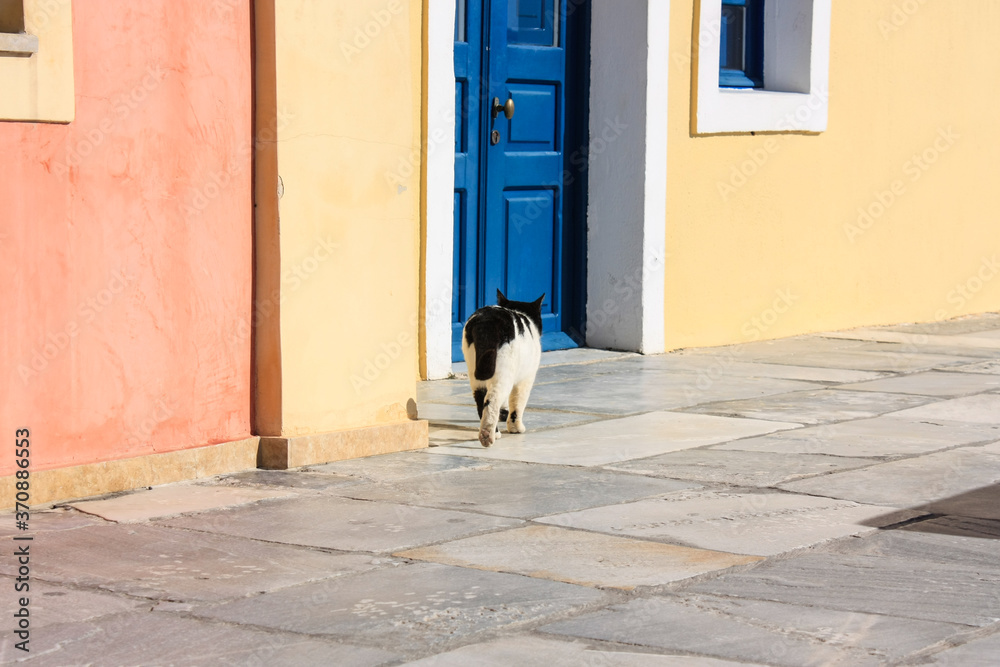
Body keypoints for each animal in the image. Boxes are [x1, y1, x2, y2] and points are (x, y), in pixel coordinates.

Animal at [462, 288, 544, 448]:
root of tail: (487, 321)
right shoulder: (526, 379)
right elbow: (517, 404)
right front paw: (516, 427)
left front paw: (504, 414)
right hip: (504, 372)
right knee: (492, 400)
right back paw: (488, 434)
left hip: (476, 373)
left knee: (481, 400)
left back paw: (492, 432)